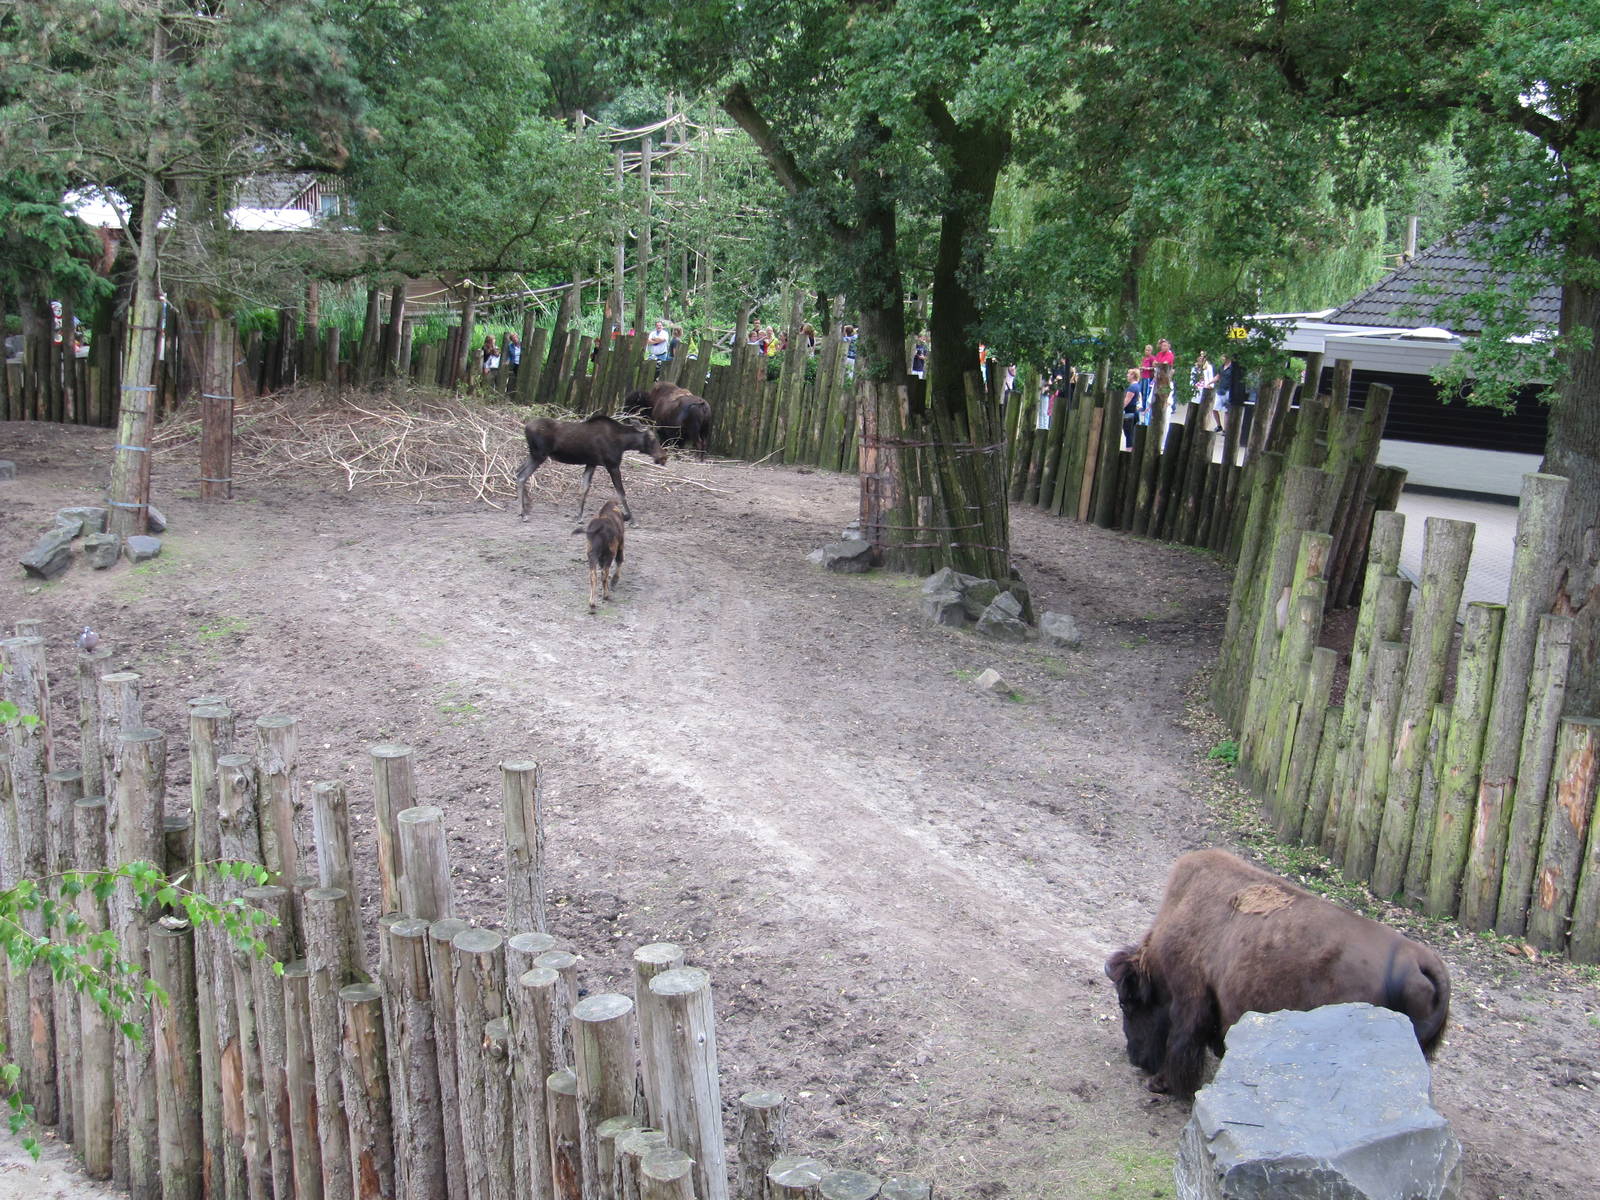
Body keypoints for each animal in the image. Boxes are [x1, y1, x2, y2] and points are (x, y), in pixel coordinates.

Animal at [1105, 849, 1450, 1098]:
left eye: (1126, 1003)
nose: (1136, 1058)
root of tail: (1421, 960)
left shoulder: (1190, 998)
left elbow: (1182, 1043)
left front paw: (1163, 1084)